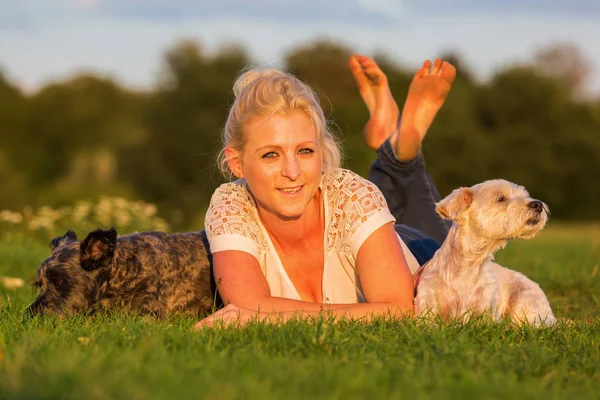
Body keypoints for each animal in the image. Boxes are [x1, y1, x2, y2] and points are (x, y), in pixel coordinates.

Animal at [412, 180, 556, 326]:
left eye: (524, 195)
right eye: (501, 198)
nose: (538, 204)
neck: (470, 265)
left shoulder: (485, 310)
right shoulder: (427, 304)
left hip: (524, 301)